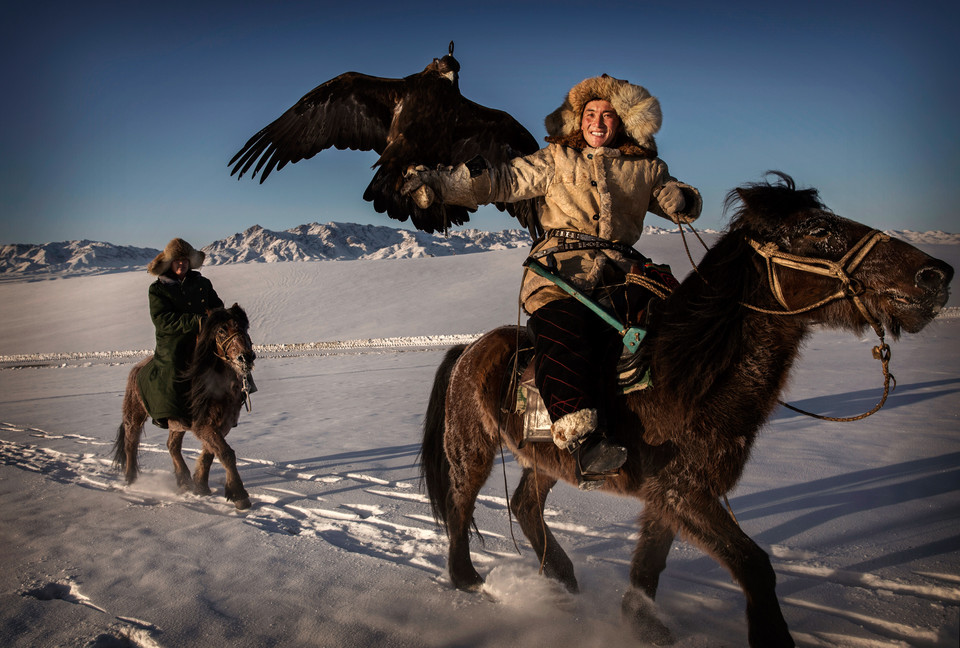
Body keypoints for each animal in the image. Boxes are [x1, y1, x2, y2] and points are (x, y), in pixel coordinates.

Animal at [114, 304, 256, 512]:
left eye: (245, 327)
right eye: (221, 331)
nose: (246, 357)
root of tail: (136, 369)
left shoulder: (221, 425)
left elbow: (210, 453)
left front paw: (201, 487)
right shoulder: (203, 425)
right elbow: (226, 453)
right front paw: (239, 495)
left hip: (176, 424)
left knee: (172, 446)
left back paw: (183, 482)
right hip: (135, 415)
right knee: (131, 443)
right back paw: (132, 481)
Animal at [424, 173, 956, 648]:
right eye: (818, 229)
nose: (935, 275)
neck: (679, 374)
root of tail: (468, 350)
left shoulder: (669, 491)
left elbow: (650, 563)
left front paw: (642, 624)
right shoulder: (685, 491)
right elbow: (753, 565)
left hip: (548, 458)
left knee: (525, 504)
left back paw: (563, 582)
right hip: (472, 445)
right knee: (460, 502)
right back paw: (468, 579)